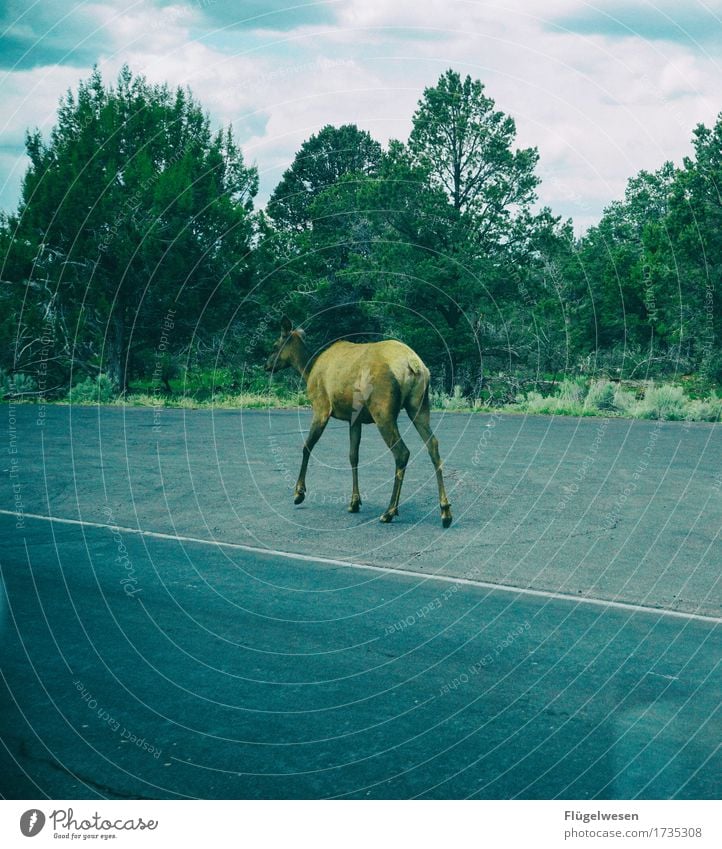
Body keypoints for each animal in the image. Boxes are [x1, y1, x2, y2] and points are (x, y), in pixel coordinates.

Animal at [262, 318, 450, 528]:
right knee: (433, 444)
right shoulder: (354, 420)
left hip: (382, 410)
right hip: (419, 406)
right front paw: (354, 502)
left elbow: (307, 446)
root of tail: (414, 365)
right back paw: (445, 511)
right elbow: (353, 456)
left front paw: (299, 493)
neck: (308, 371)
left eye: (275, 345)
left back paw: (389, 512)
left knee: (402, 452)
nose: (266, 365)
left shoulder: (321, 407)